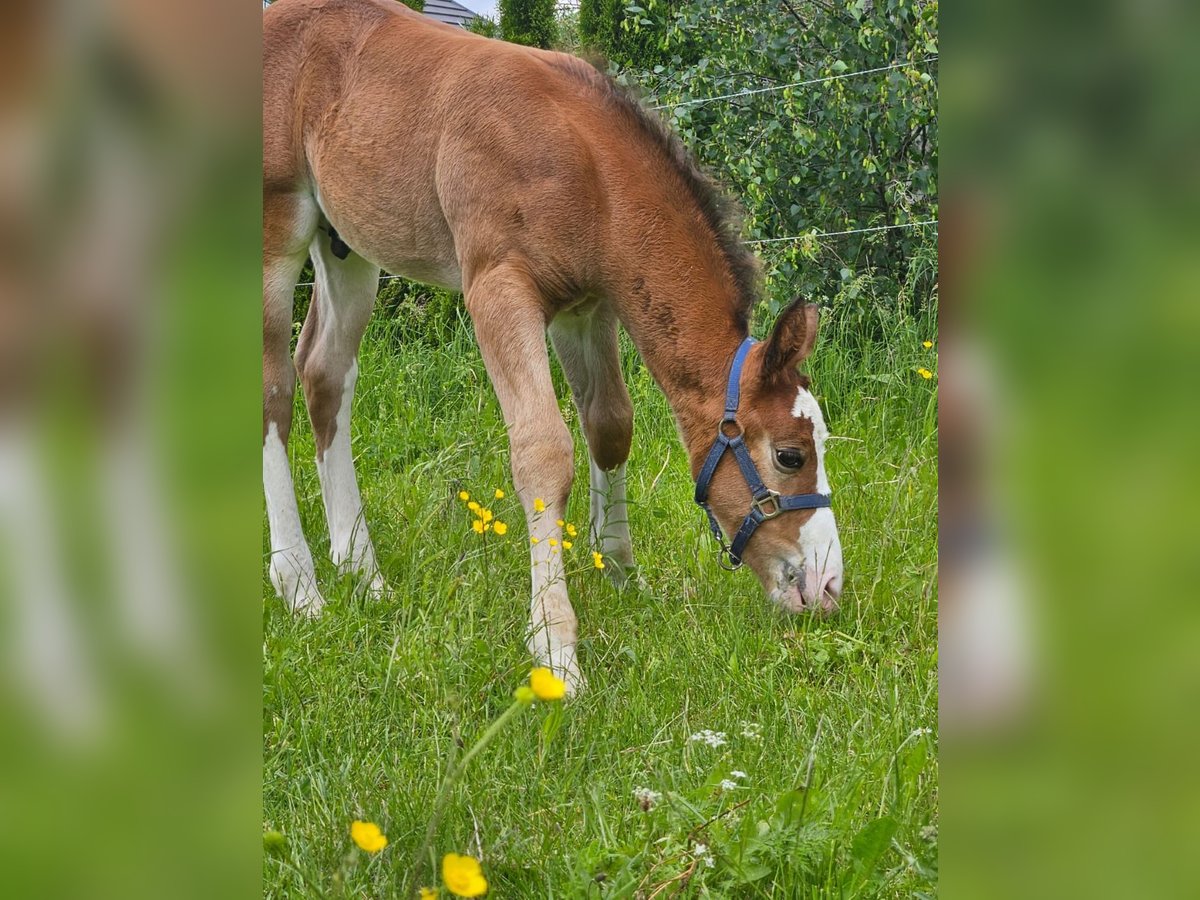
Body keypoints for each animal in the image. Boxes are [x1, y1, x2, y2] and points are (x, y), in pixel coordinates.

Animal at [262, 0, 844, 696]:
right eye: (789, 455)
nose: (828, 585)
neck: (587, 170)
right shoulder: (498, 289)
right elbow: (543, 451)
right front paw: (556, 646)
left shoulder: (586, 307)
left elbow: (611, 425)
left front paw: (619, 572)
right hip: (276, 227)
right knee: (274, 389)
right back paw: (301, 587)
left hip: (347, 246)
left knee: (323, 374)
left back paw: (361, 570)